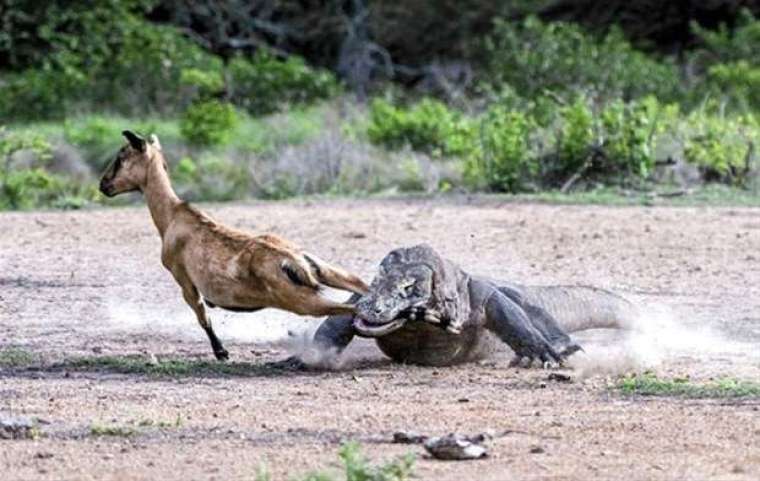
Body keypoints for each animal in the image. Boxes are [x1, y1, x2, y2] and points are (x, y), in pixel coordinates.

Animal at [100, 129, 368, 358]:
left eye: (121, 156)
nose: (103, 185)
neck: (172, 216)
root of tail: (293, 260)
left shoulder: (183, 278)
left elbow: (202, 315)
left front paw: (221, 352)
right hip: (323, 271)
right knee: (361, 286)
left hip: (302, 301)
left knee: (355, 310)